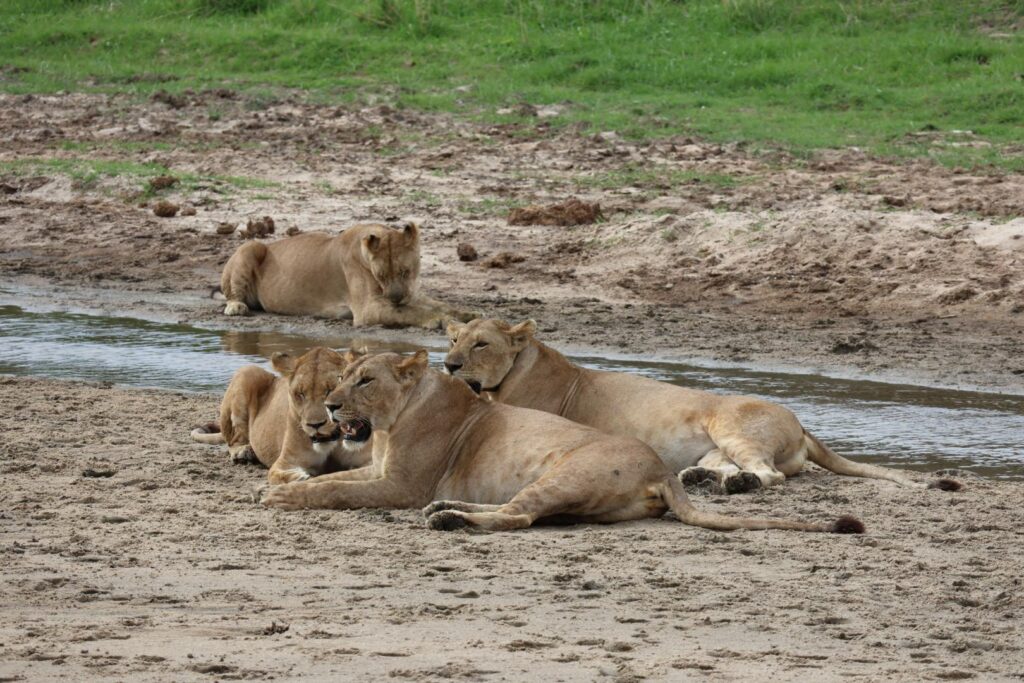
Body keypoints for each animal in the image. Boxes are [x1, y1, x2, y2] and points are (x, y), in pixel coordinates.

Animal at [190, 347, 370, 483]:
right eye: (300, 394)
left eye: (331, 390)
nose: (315, 425)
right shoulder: (283, 464)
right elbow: (285, 476)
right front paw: (303, 477)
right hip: (248, 371)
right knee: (234, 439)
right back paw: (244, 452)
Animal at [217, 221, 475, 329]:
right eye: (381, 275)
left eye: (405, 271)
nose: (395, 298)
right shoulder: (368, 309)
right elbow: (410, 312)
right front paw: (439, 320)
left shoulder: (411, 292)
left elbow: (438, 304)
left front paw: (467, 314)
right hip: (251, 245)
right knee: (232, 294)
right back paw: (236, 307)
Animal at [257, 350, 864, 535]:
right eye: (344, 376)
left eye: (365, 380)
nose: (332, 407)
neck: (391, 424)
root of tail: (662, 471)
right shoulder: (379, 470)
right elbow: (338, 477)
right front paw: (281, 486)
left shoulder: (402, 485)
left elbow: (333, 490)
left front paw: (282, 496)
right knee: (516, 511)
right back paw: (449, 508)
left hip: (562, 472)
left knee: (519, 517)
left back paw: (448, 518)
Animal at [443, 318, 961, 495]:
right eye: (453, 339)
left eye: (481, 343)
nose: (448, 365)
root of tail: (801, 422)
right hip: (716, 447)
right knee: (733, 468)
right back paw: (702, 479)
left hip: (731, 425)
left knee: (768, 475)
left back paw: (735, 485)